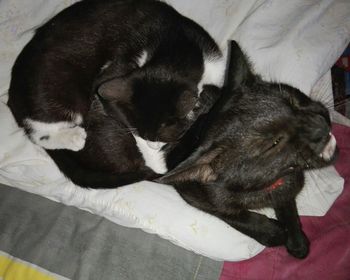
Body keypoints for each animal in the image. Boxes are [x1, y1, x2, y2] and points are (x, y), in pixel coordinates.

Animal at [159, 41, 340, 258]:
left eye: (292, 101)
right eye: (273, 143)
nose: (320, 126)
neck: (267, 185)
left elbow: (288, 206)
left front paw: (296, 240)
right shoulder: (193, 194)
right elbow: (231, 214)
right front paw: (272, 232)